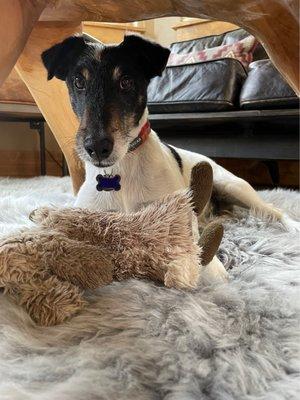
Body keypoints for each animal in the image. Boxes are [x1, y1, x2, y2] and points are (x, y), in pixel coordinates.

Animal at [41, 34, 298, 280]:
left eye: (126, 82)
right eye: (78, 82)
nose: (96, 147)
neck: (119, 170)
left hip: (233, 186)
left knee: (273, 210)